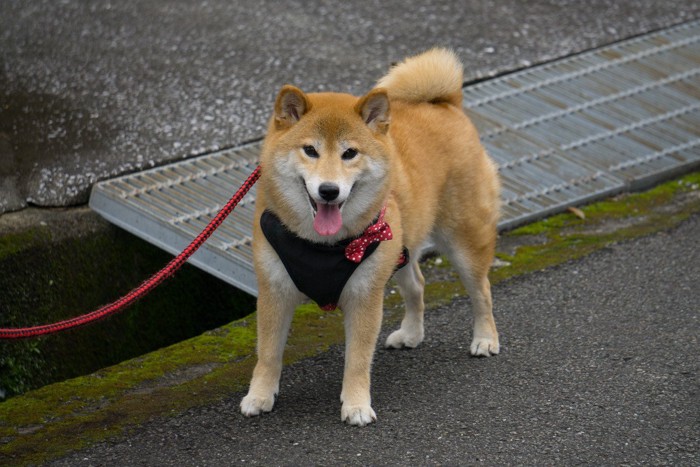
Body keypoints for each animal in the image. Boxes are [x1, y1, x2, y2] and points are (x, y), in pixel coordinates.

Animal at [243, 48, 500, 428]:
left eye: (349, 153)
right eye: (310, 150)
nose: (329, 190)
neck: (322, 246)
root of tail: (445, 103)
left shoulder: (365, 296)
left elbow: (357, 360)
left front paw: (356, 405)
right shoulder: (275, 290)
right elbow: (268, 352)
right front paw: (259, 395)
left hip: (463, 241)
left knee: (481, 291)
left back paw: (485, 339)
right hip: (398, 251)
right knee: (417, 285)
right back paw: (411, 334)